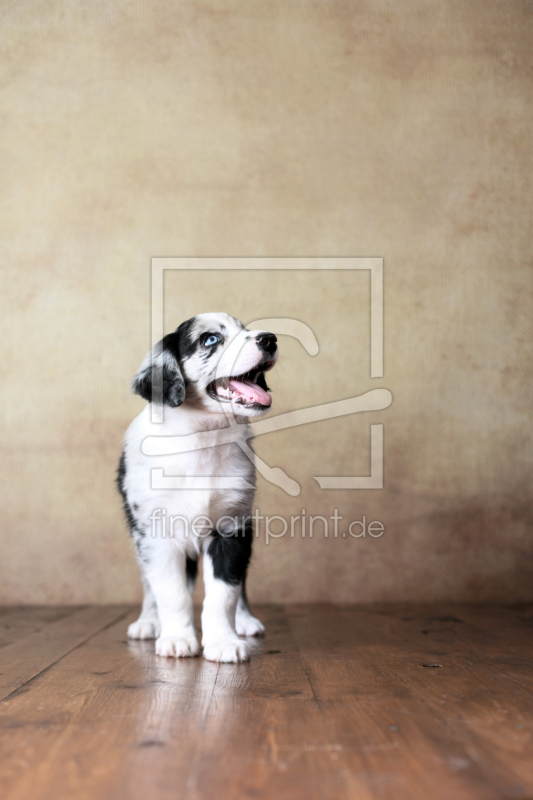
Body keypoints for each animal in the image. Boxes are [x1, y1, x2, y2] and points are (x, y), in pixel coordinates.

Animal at [117, 312, 278, 664]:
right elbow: (171, 592)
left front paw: (224, 642)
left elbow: (225, 592)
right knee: (149, 585)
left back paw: (245, 621)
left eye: (245, 330)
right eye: (210, 339)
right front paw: (177, 638)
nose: (271, 338)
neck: (202, 439)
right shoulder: (155, 534)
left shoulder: (233, 528)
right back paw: (148, 622)